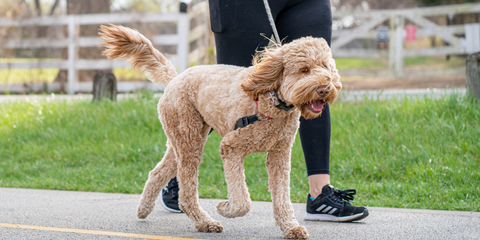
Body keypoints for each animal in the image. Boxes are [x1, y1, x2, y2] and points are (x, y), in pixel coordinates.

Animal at [100, 23, 342, 238]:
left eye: (325, 67)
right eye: (304, 70)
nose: (325, 88)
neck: (271, 100)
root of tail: (175, 78)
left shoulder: (279, 155)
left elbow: (282, 197)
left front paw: (291, 227)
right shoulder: (231, 147)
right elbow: (242, 201)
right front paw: (225, 208)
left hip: (185, 139)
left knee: (158, 172)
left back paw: (143, 209)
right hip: (189, 140)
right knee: (186, 193)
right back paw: (204, 222)